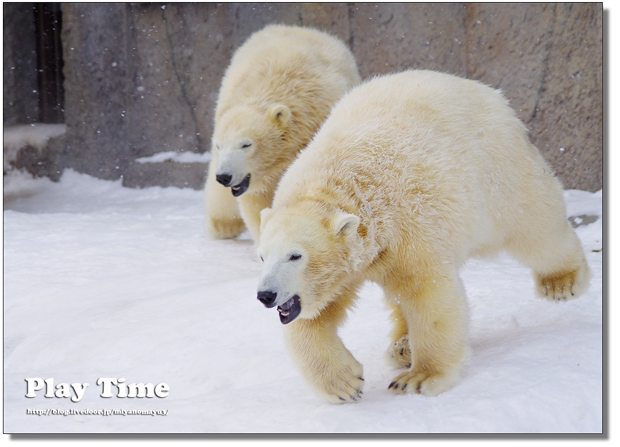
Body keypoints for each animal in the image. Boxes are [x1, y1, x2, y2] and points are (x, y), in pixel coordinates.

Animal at [256, 71, 592, 406]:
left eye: (295, 255)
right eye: (262, 256)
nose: (266, 295)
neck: (340, 186)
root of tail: (488, 93)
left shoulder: (406, 225)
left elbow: (428, 292)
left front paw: (419, 379)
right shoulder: (352, 260)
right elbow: (316, 316)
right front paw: (344, 383)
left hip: (497, 172)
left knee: (534, 226)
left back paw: (561, 282)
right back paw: (402, 346)